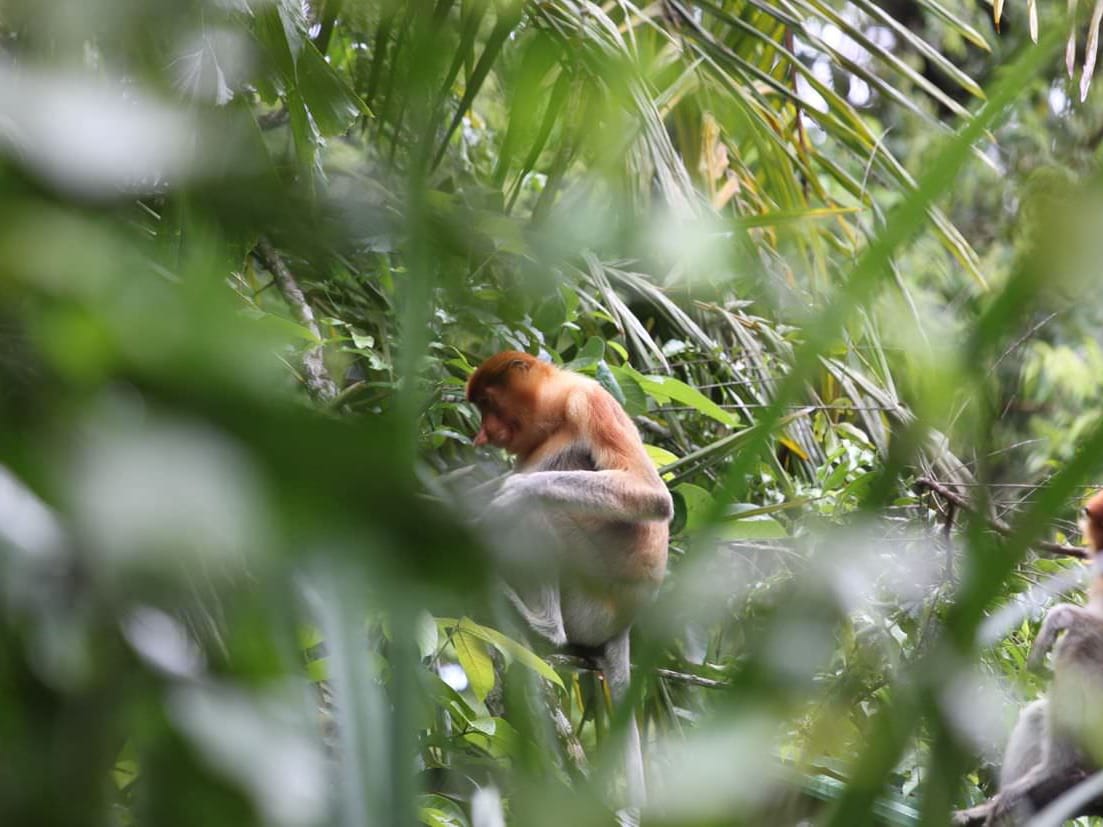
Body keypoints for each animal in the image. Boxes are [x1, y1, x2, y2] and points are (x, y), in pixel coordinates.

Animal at [466, 351, 674, 807]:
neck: (557, 414)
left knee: (540, 512)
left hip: (591, 592)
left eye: (488, 403)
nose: (481, 434)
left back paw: (541, 623)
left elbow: (651, 495)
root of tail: (624, 623)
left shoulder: (589, 403)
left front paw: (511, 491)